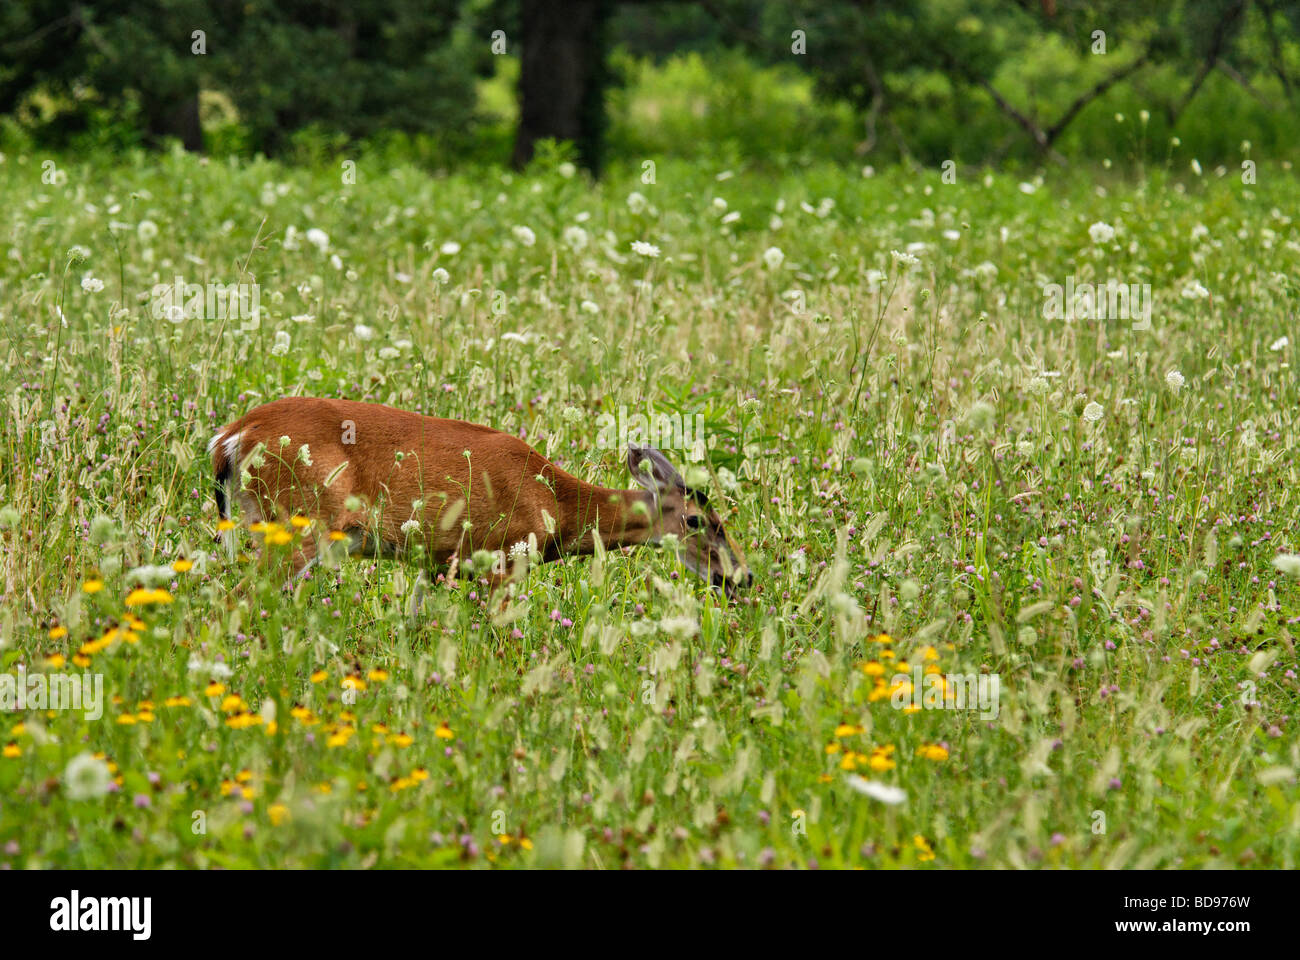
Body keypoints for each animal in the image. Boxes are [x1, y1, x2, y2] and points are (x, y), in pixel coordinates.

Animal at [205, 395, 754, 590]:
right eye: (701, 520)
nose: (742, 577)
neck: (557, 506)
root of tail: (231, 436)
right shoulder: (503, 556)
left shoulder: (437, 561)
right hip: (298, 522)